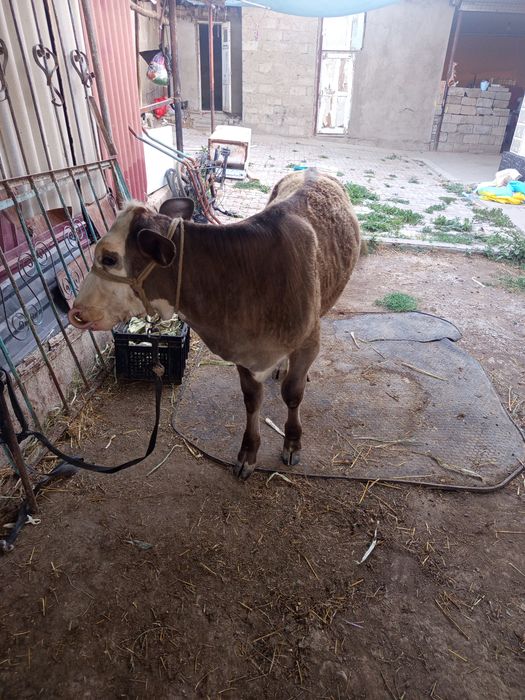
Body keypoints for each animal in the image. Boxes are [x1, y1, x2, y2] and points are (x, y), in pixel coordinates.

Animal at [68, 170, 362, 479]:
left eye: (109, 258)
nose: (75, 311)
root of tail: (311, 170)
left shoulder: (308, 340)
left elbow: (292, 395)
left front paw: (292, 442)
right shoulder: (242, 351)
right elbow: (252, 400)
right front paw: (248, 452)